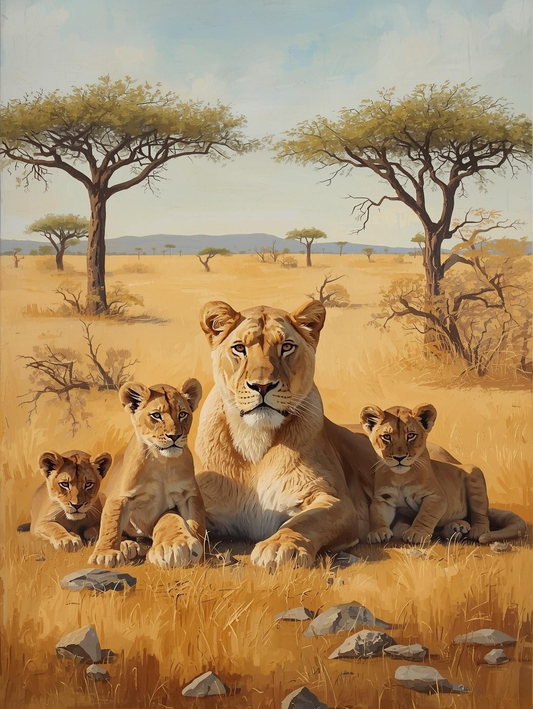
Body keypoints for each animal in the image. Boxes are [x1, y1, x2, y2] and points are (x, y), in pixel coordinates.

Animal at [88, 379, 205, 569]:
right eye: (156, 415)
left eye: (182, 414)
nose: (175, 436)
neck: (162, 461)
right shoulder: (121, 496)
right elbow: (110, 524)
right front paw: (105, 554)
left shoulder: (189, 494)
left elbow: (196, 523)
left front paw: (196, 549)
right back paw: (127, 545)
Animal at [360, 403, 526, 544]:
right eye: (386, 437)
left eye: (411, 435)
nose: (399, 458)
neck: (401, 476)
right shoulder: (383, 498)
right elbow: (377, 514)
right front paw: (377, 532)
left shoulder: (436, 496)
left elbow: (425, 515)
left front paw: (417, 533)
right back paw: (456, 529)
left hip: (475, 475)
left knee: (479, 513)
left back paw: (476, 530)